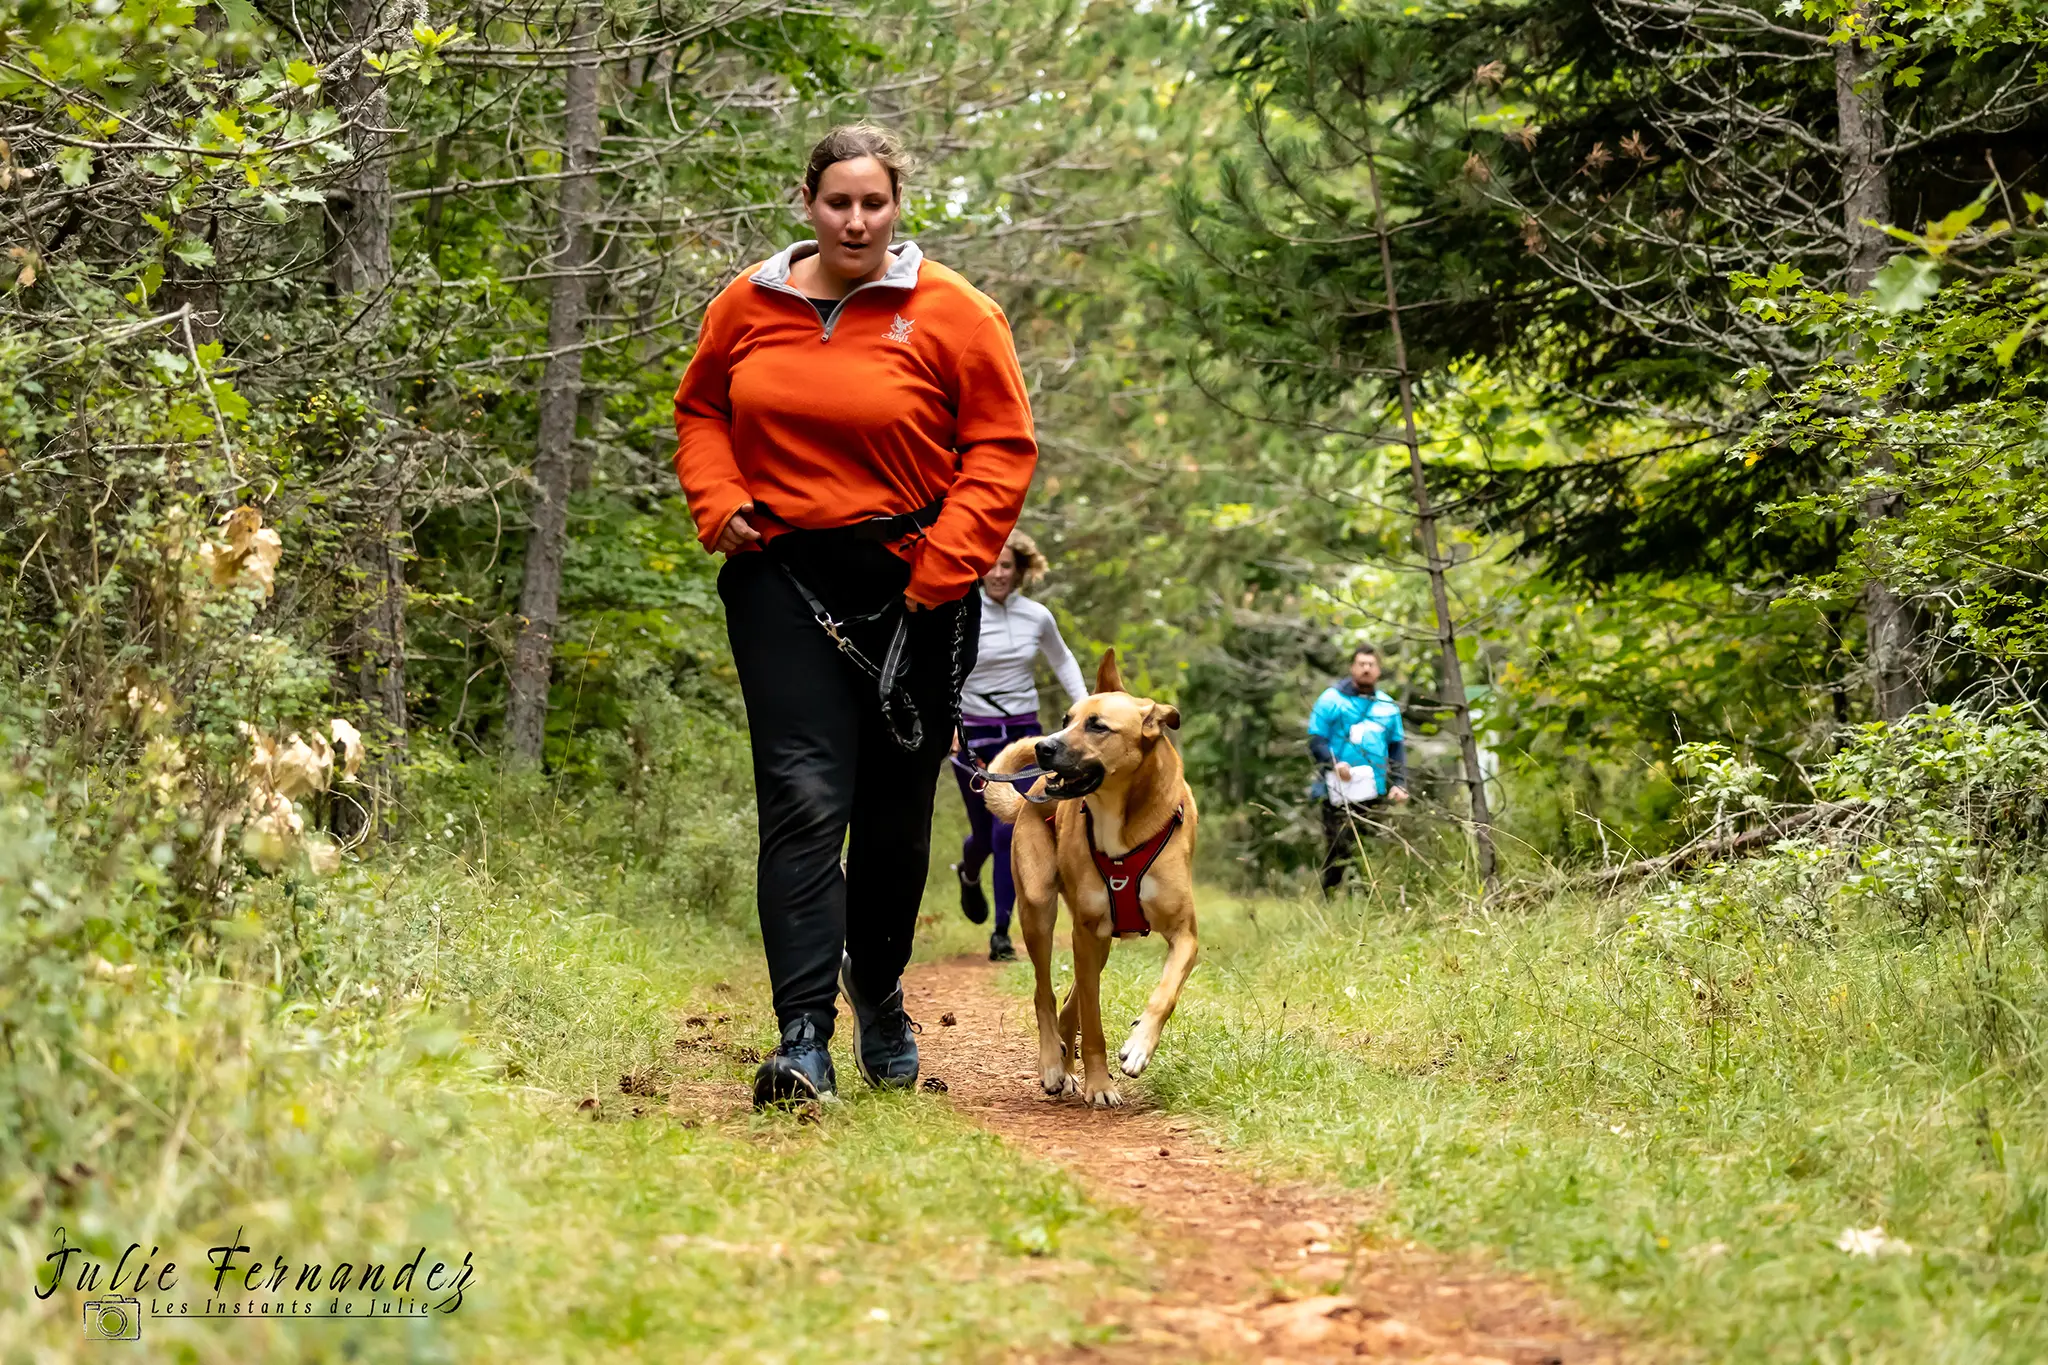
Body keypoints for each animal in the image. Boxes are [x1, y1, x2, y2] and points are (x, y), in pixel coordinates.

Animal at [978, 650, 1196, 1113]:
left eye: (1097, 725)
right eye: (1067, 718)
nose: (1043, 746)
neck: (1121, 819)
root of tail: (1032, 794)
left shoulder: (1185, 934)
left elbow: (1165, 994)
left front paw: (1140, 1046)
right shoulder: (1086, 931)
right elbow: (1092, 1024)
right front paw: (1099, 1084)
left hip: (1099, 943)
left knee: (1070, 1003)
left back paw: (1065, 1063)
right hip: (1040, 910)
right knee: (1046, 995)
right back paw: (1052, 1065)